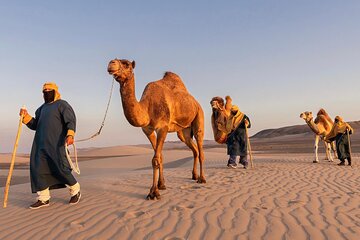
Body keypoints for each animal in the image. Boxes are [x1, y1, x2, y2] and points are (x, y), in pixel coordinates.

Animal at [107, 59, 205, 200]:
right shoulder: (147, 130)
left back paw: (202, 179)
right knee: (193, 148)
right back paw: (194, 175)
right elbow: (160, 157)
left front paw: (153, 192)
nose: (111, 63)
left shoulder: (162, 127)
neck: (147, 107)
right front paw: (161, 185)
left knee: (200, 146)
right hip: (183, 131)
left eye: (126, 64)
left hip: (199, 116)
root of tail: (196, 103)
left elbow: (155, 159)